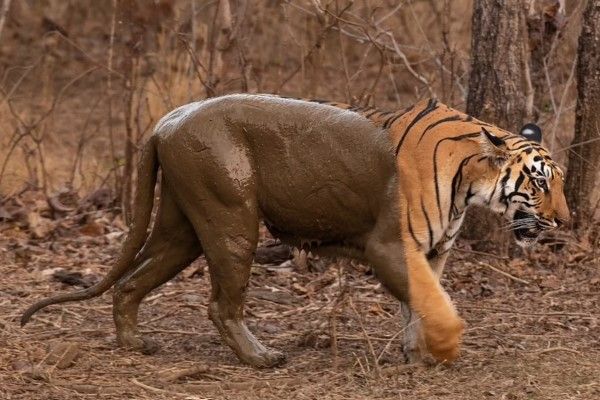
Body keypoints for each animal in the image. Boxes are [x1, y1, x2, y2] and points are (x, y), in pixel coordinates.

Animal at [21, 93, 568, 366]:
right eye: (540, 182)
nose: (566, 220)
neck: (469, 183)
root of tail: (165, 121)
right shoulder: (391, 245)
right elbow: (437, 304)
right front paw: (446, 349)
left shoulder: (433, 253)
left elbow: (422, 303)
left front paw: (419, 353)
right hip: (232, 220)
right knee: (220, 303)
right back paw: (261, 358)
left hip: (183, 229)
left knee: (131, 282)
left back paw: (134, 344)